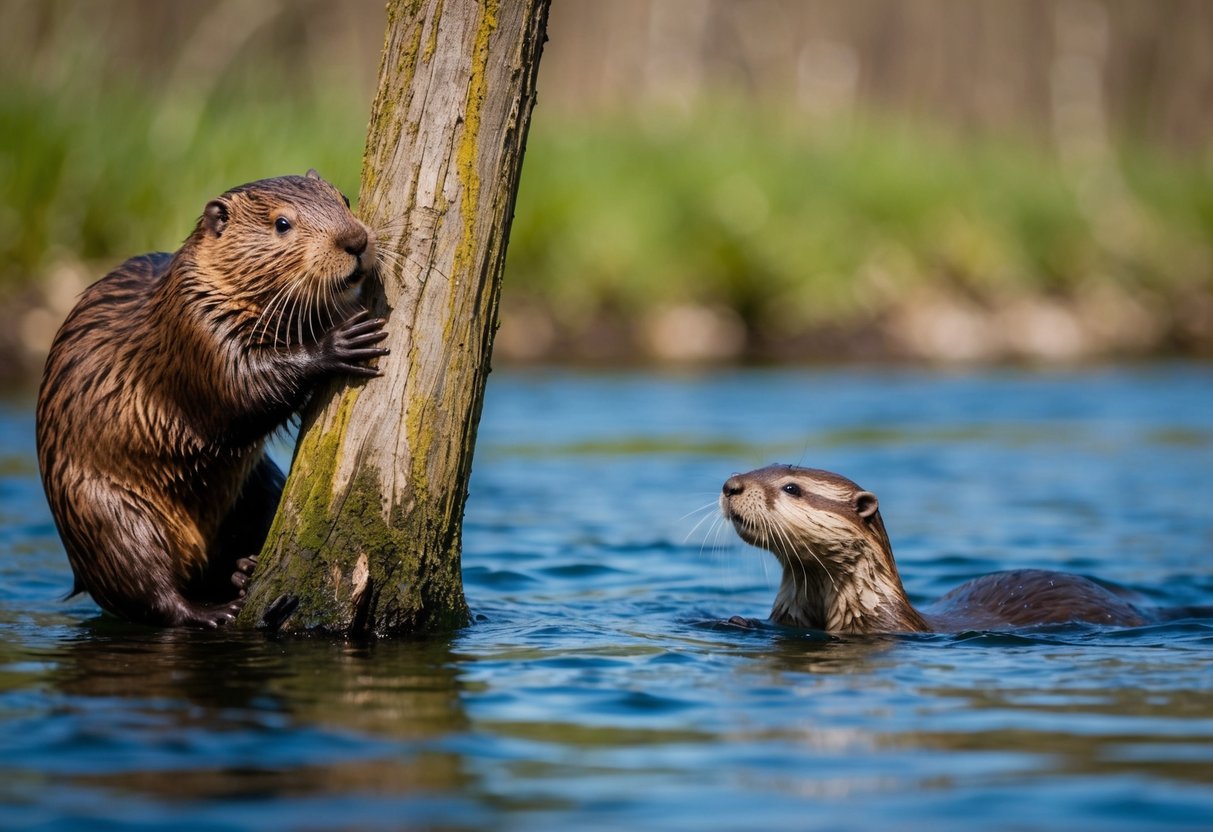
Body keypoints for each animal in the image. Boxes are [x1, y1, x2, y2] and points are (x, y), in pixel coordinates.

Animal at [36, 171, 388, 628]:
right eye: (282, 224)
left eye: (343, 199)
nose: (355, 240)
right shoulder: (194, 328)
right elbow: (238, 394)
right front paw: (341, 341)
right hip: (104, 511)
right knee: (147, 589)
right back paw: (219, 609)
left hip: (259, 484)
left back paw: (245, 570)